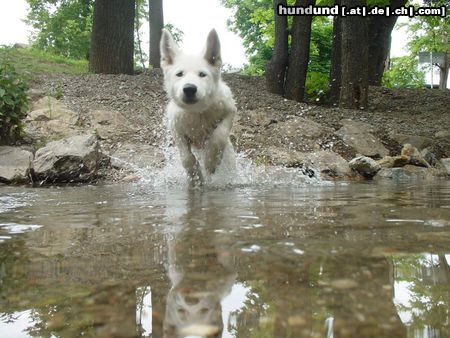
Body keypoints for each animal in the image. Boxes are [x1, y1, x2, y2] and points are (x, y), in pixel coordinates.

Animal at [160, 29, 237, 185]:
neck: (197, 112)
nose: (189, 89)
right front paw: (195, 175)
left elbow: (219, 136)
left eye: (202, 74)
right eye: (179, 74)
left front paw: (211, 162)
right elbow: (186, 157)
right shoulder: (176, 129)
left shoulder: (230, 109)